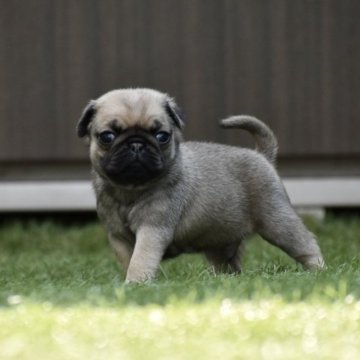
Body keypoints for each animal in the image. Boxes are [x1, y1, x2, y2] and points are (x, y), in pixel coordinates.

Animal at [77, 88, 324, 282]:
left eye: (162, 136)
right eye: (107, 137)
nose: (136, 144)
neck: (130, 189)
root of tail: (262, 155)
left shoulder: (152, 230)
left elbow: (141, 259)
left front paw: (135, 284)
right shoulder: (118, 237)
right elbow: (129, 260)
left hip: (277, 221)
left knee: (306, 244)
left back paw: (318, 270)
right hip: (220, 243)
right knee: (228, 266)